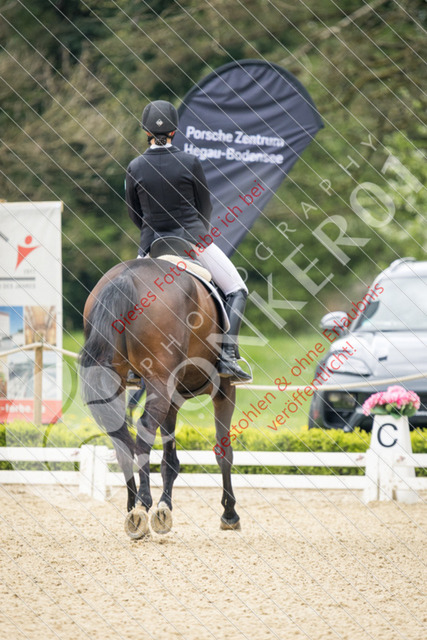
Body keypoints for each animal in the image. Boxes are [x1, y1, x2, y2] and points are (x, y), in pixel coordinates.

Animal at [80, 250, 240, 538]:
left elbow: (170, 458)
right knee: (143, 430)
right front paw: (230, 514)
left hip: (118, 380)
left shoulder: (173, 399)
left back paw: (132, 507)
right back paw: (142, 505)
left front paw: (165, 508)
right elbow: (224, 451)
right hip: (159, 381)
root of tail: (125, 276)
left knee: (121, 438)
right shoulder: (224, 391)